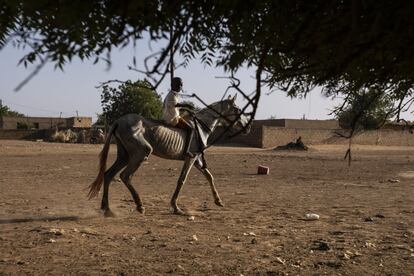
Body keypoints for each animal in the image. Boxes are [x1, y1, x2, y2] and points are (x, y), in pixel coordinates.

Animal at [89, 95, 251, 216]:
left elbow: (209, 176)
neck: (200, 126)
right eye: (238, 109)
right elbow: (181, 180)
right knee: (125, 176)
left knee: (108, 174)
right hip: (140, 153)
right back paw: (139, 205)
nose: (248, 128)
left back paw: (106, 209)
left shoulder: (197, 160)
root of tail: (119, 121)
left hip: (124, 156)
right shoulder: (191, 158)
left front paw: (218, 201)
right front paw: (175, 207)